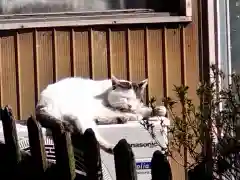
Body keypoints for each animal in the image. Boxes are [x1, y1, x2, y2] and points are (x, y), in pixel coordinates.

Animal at [35, 75, 166, 153]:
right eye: (125, 98)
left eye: (137, 99)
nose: (130, 106)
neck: (106, 92)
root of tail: (41, 104)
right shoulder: (100, 107)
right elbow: (119, 111)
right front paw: (138, 114)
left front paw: (157, 110)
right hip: (80, 112)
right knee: (89, 132)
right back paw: (111, 145)